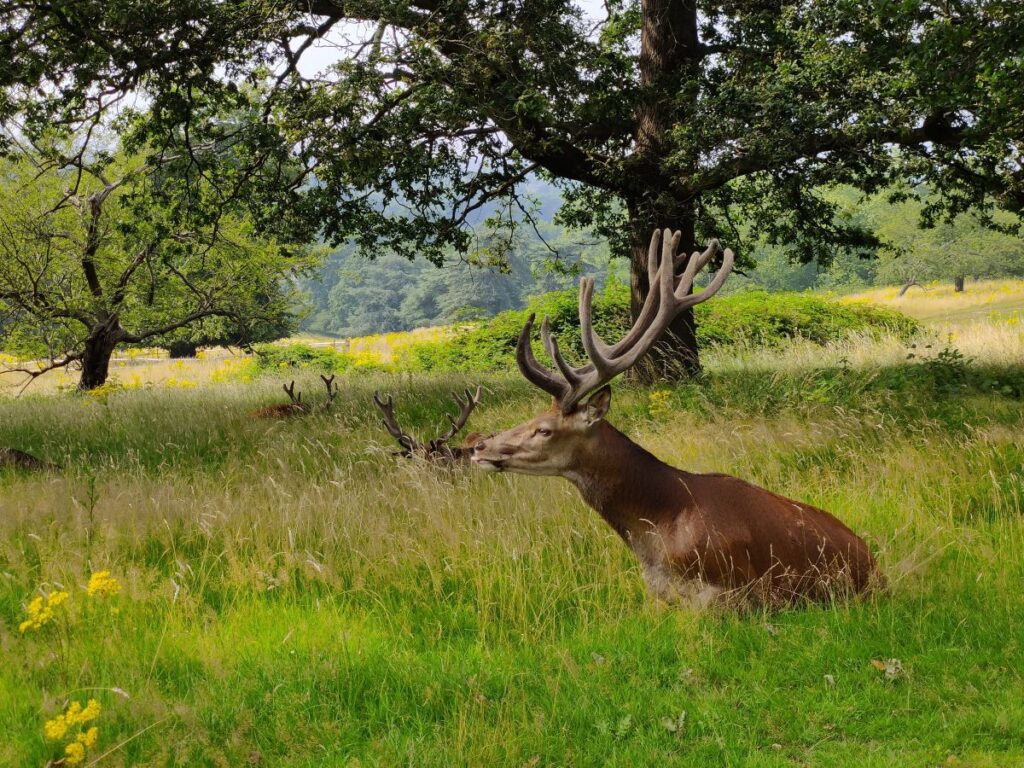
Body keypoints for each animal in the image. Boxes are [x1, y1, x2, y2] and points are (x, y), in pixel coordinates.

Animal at [470, 229, 881, 609]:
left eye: (544, 430)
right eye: (534, 416)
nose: (478, 446)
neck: (655, 535)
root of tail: (876, 566)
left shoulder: (734, 591)